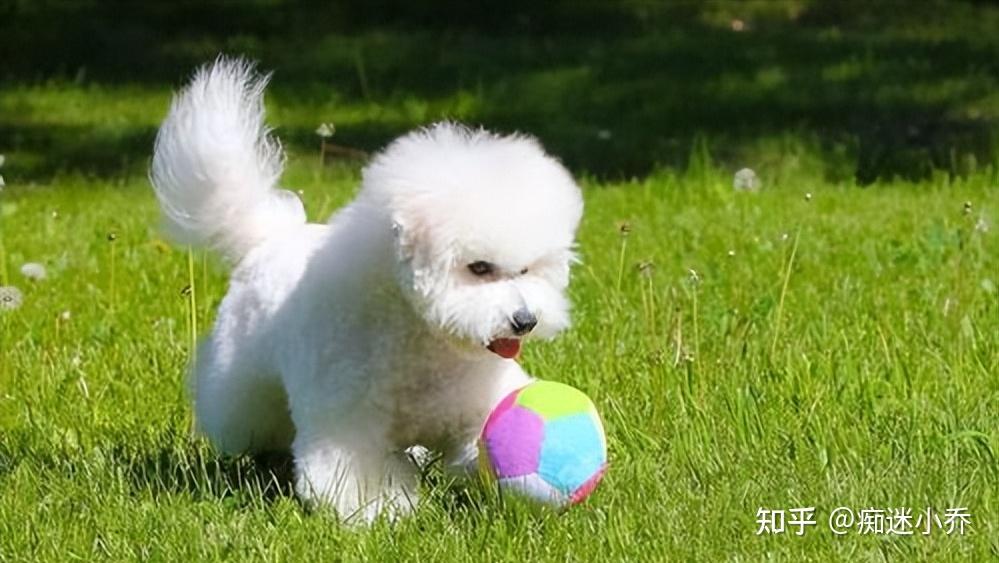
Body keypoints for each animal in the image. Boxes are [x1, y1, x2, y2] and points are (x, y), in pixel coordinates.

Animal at [151, 58, 584, 524]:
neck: (420, 342)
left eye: (526, 269)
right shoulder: (347, 420)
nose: (525, 321)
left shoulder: (476, 405)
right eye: (479, 268)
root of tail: (269, 235)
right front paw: (380, 509)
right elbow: (353, 468)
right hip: (243, 378)